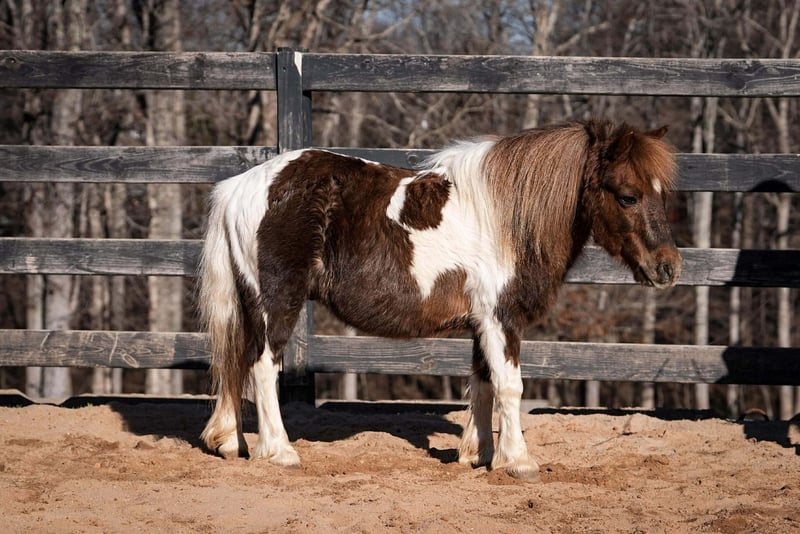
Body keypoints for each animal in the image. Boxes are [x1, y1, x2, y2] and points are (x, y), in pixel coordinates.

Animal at [198, 119, 682, 481]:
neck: (507, 219)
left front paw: (479, 455)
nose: (669, 268)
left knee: (237, 363)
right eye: (628, 196)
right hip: (278, 302)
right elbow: (510, 385)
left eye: (662, 193)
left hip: (251, 305)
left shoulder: (483, 323)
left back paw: (231, 442)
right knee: (262, 367)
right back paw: (279, 451)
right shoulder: (501, 318)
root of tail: (239, 187)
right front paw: (519, 461)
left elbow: (483, 382)